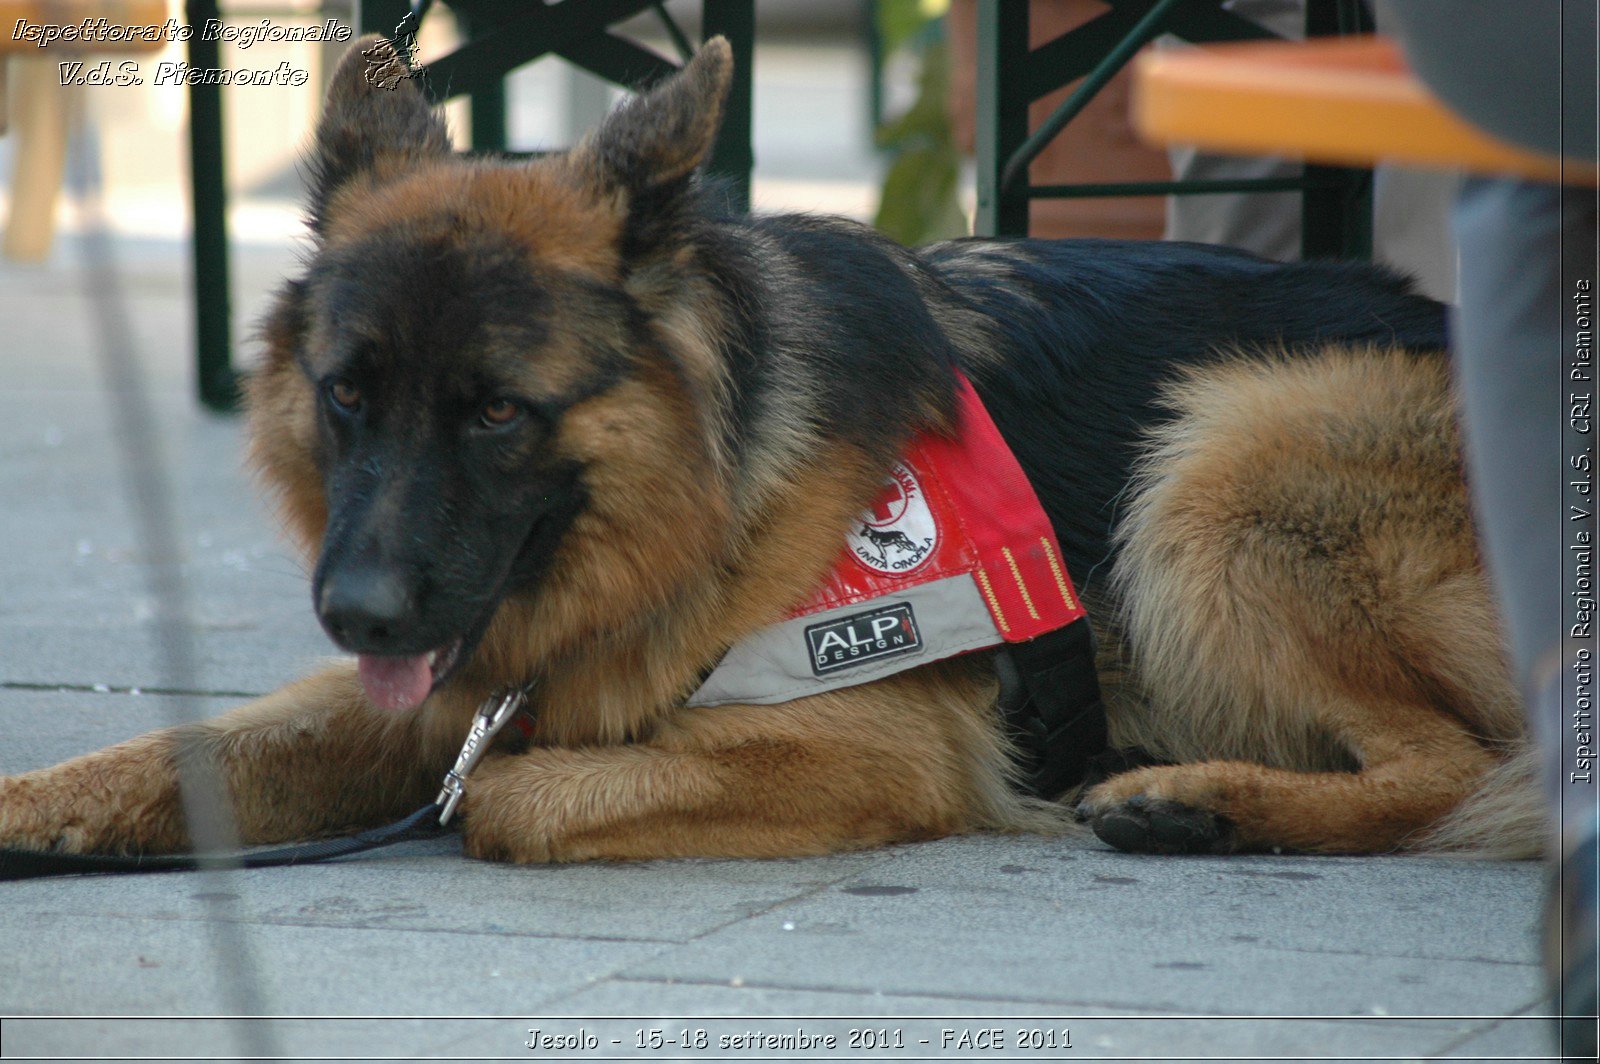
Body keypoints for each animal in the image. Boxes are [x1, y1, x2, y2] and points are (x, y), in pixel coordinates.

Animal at [0, 39, 1536, 864]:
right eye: (347, 398)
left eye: (498, 411)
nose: (360, 610)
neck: (693, 505)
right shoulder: (427, 690)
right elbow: (185, 750)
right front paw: (34, 805)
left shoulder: (872, 744)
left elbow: (503, 793)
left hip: (1227, 457)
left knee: (1454, 766)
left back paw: (1198, 802)